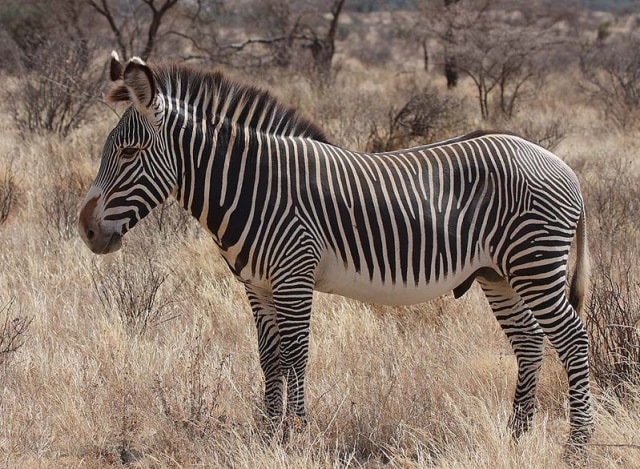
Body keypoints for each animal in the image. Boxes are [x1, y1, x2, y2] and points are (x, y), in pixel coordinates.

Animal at [78, 53, 593, 452]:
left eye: (129, 153)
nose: (85, 230)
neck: (255, 187)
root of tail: (561, 164)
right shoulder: (258, 286)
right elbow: (269, 357)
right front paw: (268, 435)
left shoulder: (293, 274)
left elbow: (295, 353)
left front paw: (296, 434)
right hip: (499, 274)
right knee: (529, 342)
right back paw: (516, 437)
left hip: (534, 264)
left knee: (573, 339)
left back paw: (577, 444)